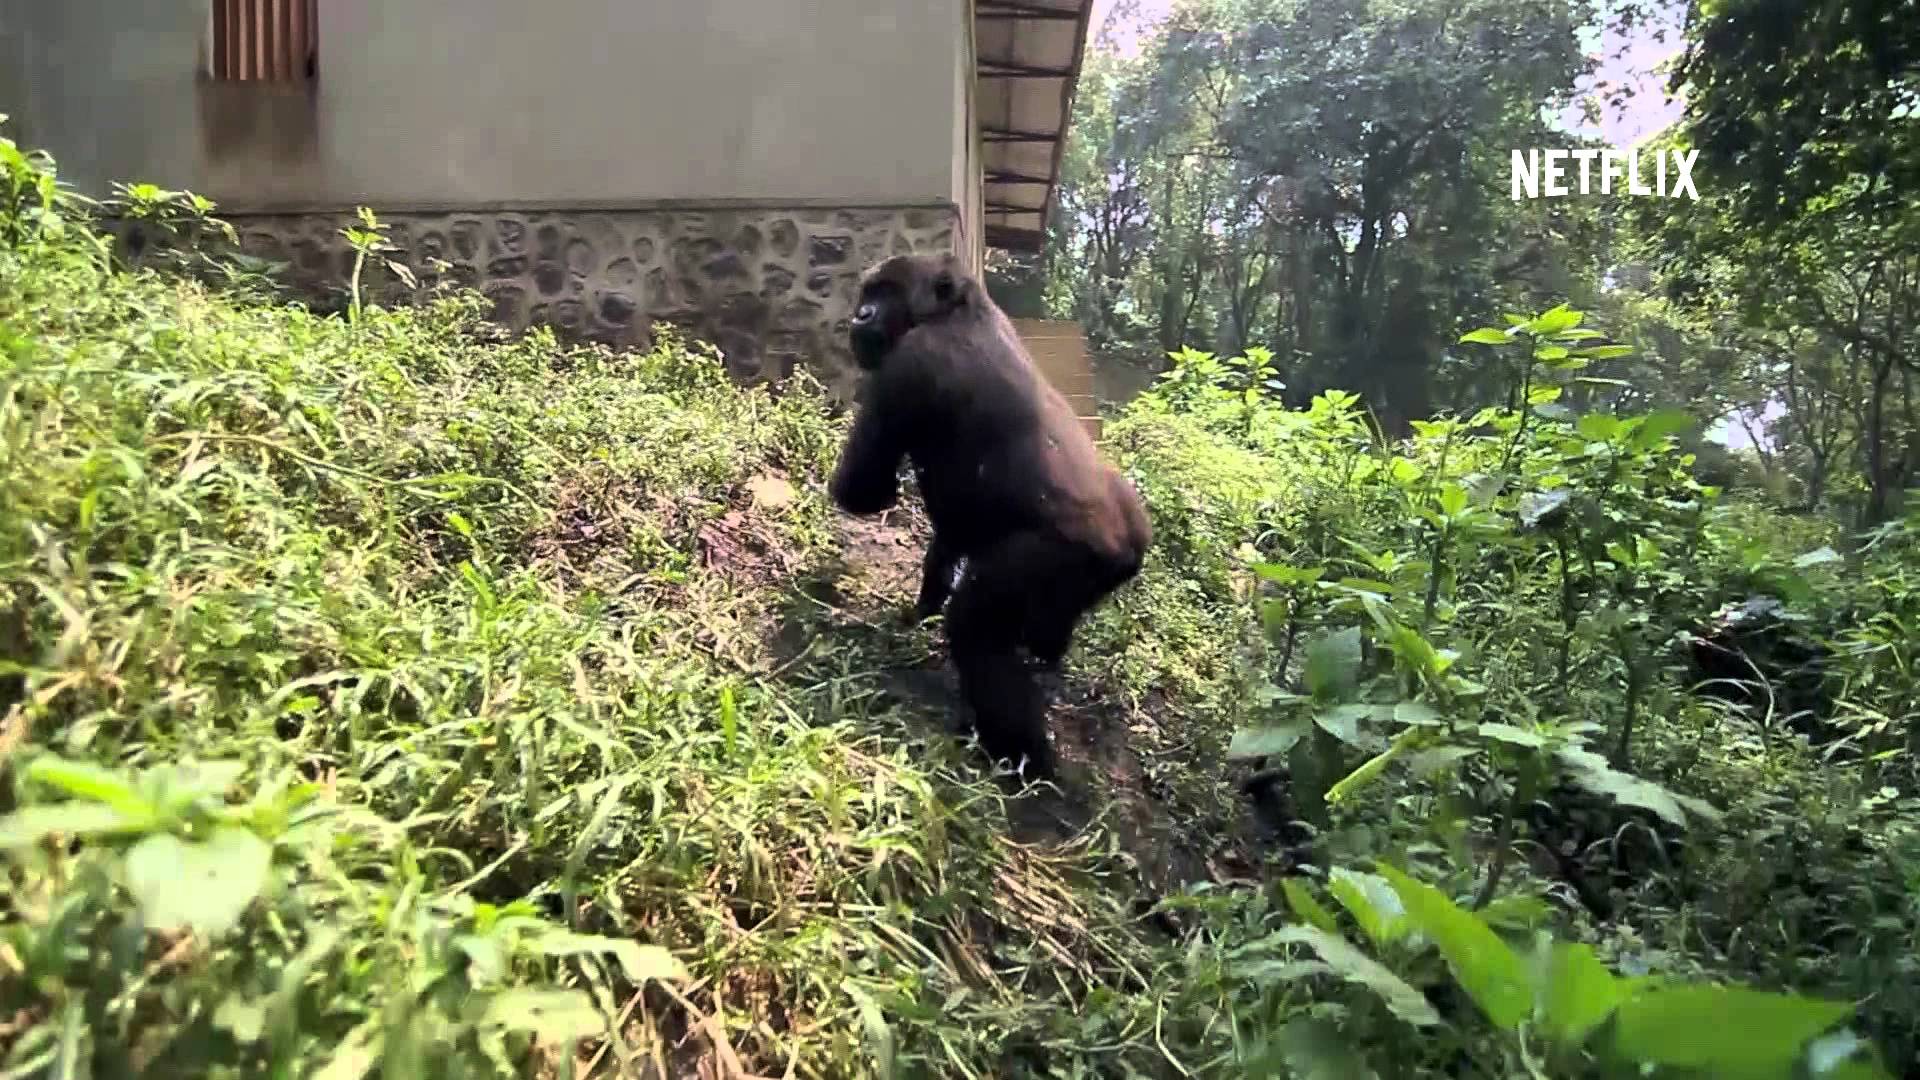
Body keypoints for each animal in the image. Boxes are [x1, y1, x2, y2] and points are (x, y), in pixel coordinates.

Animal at [828, 253, 1152, 779]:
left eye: (887, 293)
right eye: (868, 292)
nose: (861, 316)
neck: (959, 310)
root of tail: (1131, 545)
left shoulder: (909, 363)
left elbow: (863, 490)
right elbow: (948, 538)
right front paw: (918, 611)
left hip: (1061, 556)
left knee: (975, 627)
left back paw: (1020, 756)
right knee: (1044, 629)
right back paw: (1046, 673)